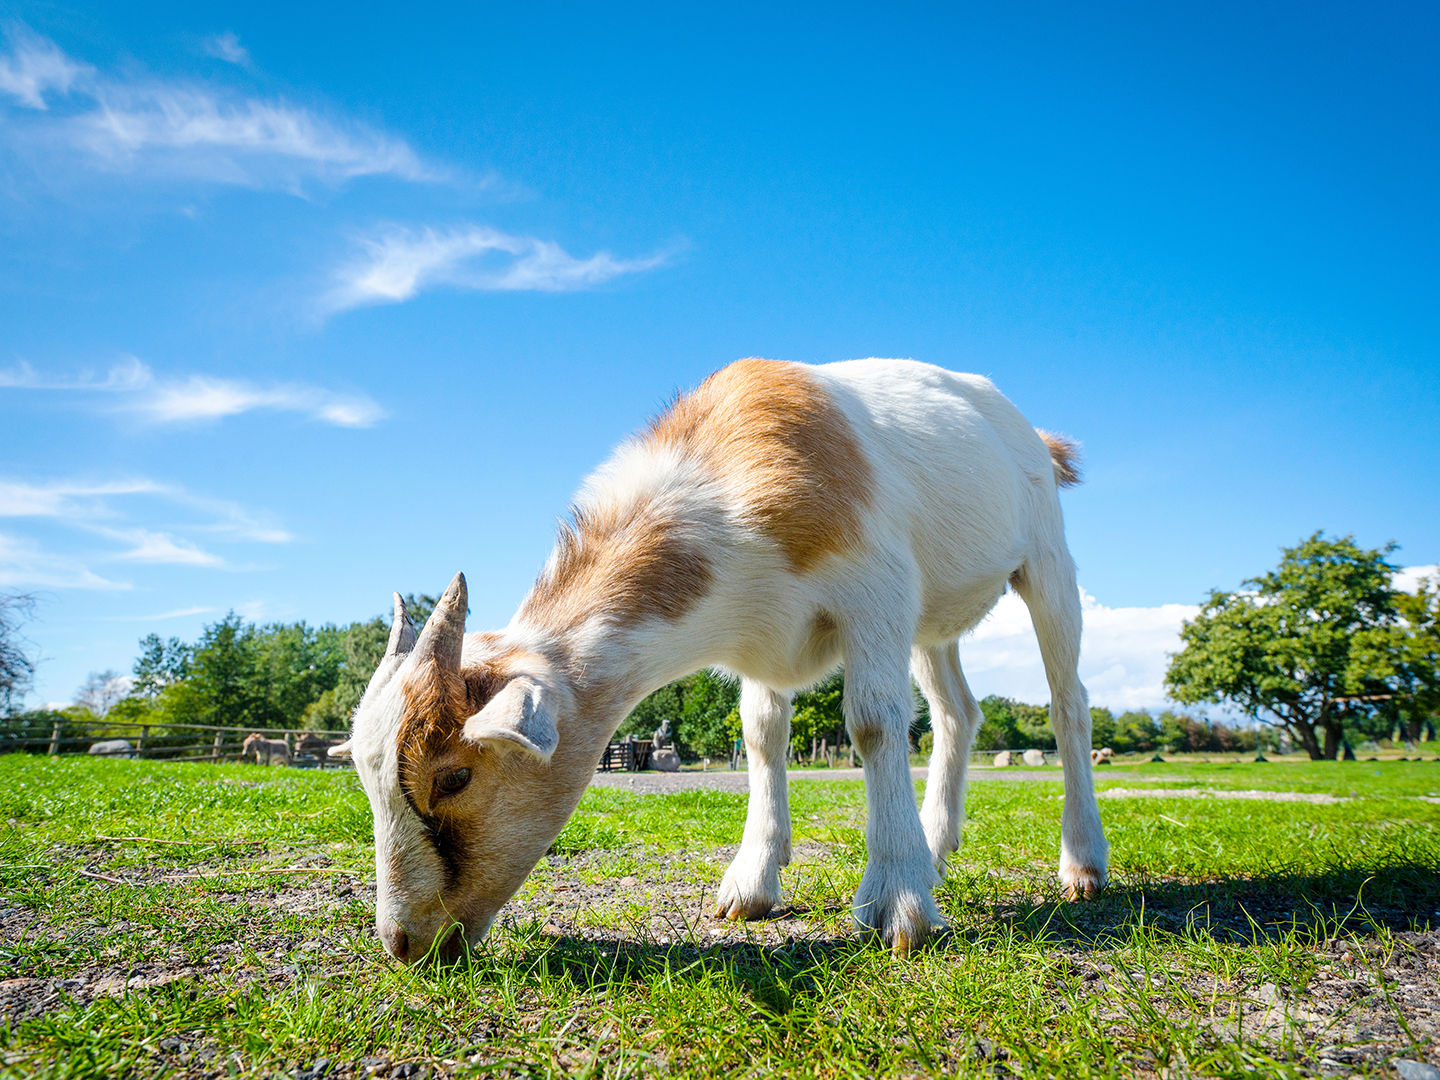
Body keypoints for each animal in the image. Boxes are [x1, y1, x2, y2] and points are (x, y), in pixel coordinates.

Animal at [331, 360, 1105, 961]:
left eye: (455, 776)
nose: (404, 943)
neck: (724, 482)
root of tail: (1034, 436)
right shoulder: (761, 637)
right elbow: (762, 734)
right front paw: (751, 885)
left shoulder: (877, 590)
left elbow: (873, 723)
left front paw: (897, 903)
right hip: (933, 625)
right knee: (957, 713)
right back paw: (939, 847)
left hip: (1048, 561)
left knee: (1068, 703)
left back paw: (1082, 865)